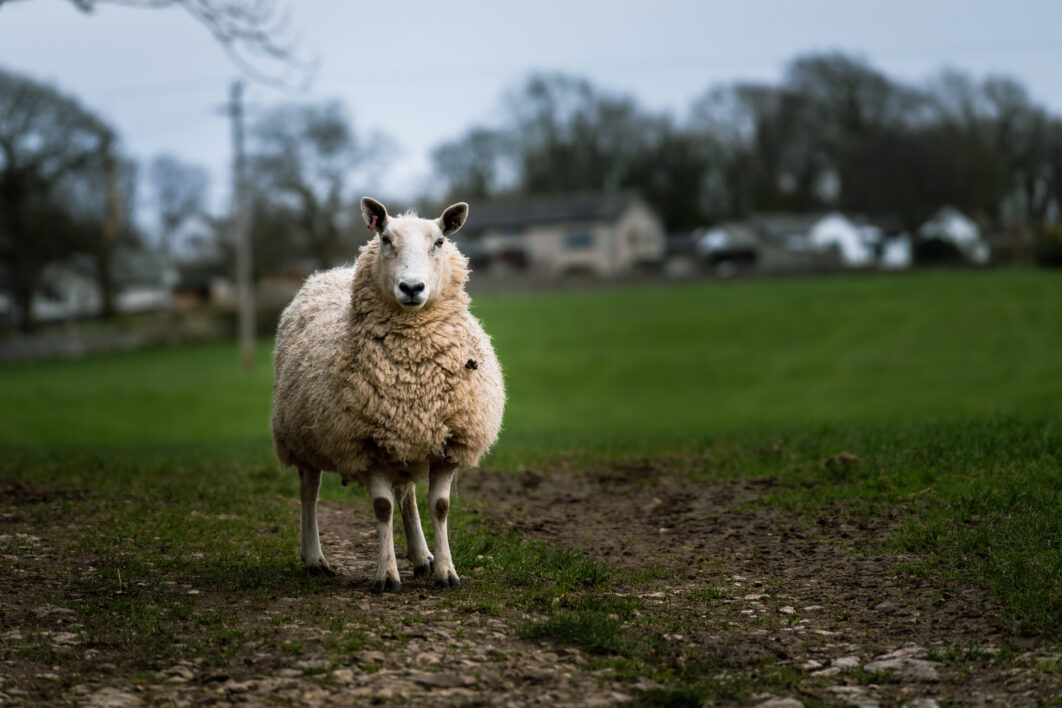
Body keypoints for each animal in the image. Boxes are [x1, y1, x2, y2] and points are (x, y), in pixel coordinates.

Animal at [273, 198, 505, 594]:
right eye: (385, 239)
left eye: (440, 241)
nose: (412, 287)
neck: (412, 368)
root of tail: (327, 273)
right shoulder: (364, 444)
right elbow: (382, 508)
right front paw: (386, 575)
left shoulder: (448, 441)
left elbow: (440, 506)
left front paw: (446, 570)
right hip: (303, 438)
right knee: (310, 492)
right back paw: (315, 559)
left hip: (406, 440)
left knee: (407, 493)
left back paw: (422, 556)